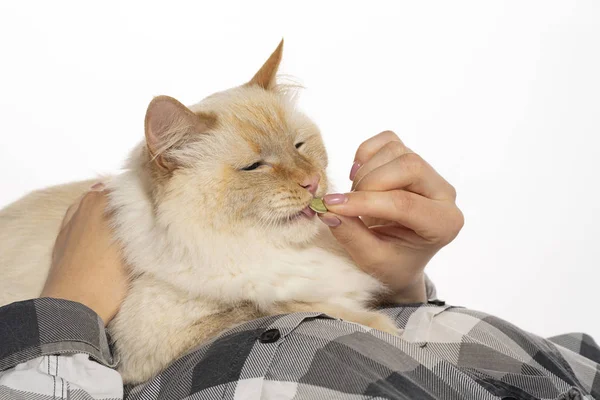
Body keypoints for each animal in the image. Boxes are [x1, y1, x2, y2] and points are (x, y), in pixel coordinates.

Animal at [0, 40, 398, 384]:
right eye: (255, 167)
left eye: (299, 145)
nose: (311, 182)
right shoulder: (147, 345)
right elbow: (286, 305)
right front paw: (387, 328)